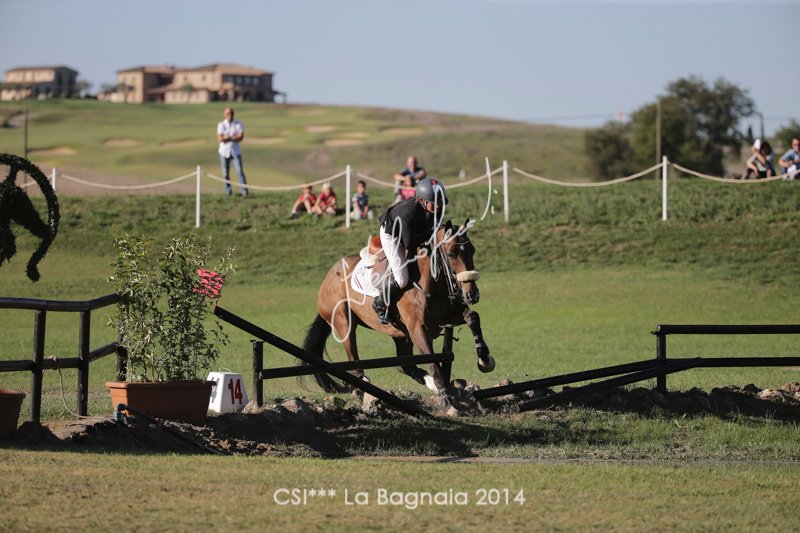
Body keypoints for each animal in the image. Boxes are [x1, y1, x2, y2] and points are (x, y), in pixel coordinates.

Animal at [302, 218, 494, 412]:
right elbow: (435, 366)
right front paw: (448, 404)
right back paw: (365, 388)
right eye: (451, 254)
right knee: (355, 363)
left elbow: (473, 318)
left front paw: (485, 360)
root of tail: (327, 277)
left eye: (472, 250)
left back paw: (433, 386)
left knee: (406, 366)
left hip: (401, 335)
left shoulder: (447, 317)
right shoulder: (418, 330)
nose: (472, 294)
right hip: (344, 324)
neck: (433, 283)